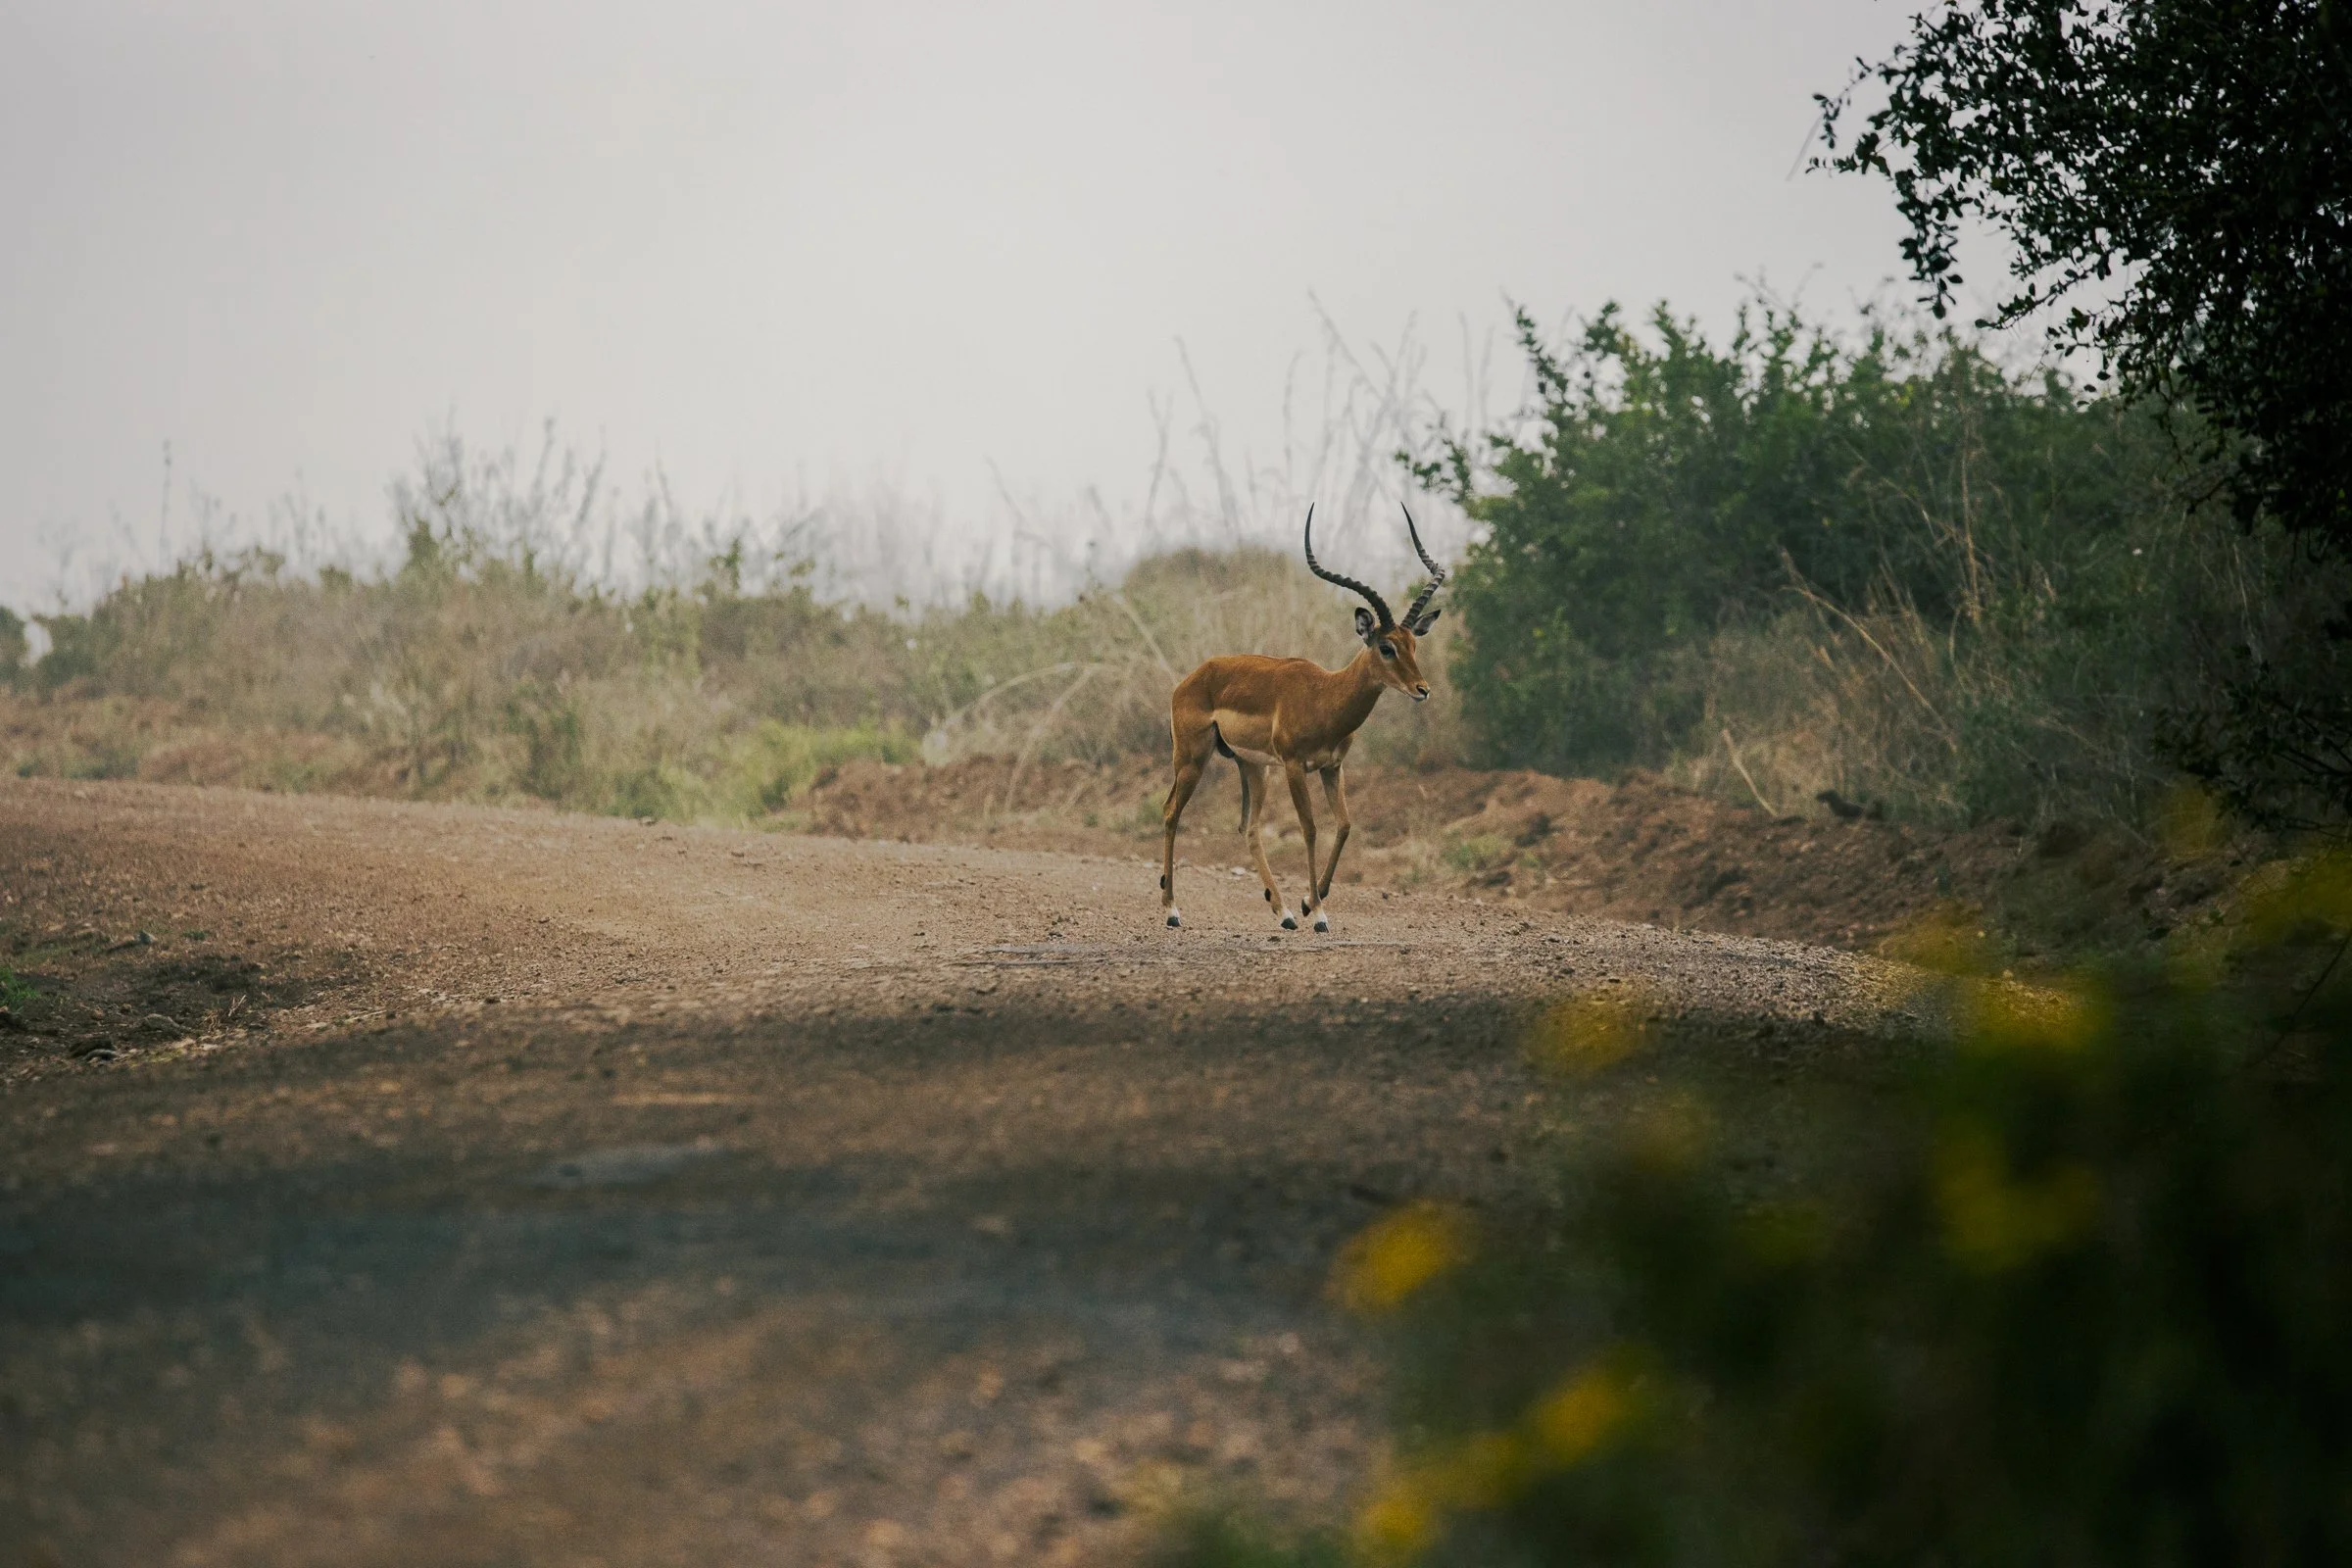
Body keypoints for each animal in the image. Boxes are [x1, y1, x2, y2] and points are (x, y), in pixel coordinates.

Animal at [1159, 505, 1446, 932]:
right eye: (1386, 646)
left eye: (1413, 644)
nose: (1422, 689)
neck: (1324, 696)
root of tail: (1191, 678)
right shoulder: (1296, 766)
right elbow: (1310, 829)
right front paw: (1320, 914)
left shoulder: (1332, 767)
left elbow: (1344, 825)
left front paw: (1310, 903)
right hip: (1193, 758)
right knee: (1171, 813)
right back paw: (1172, 911)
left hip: (1253, 767)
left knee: (1249, 828)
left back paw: (1285, 914)